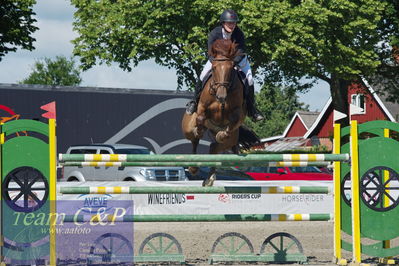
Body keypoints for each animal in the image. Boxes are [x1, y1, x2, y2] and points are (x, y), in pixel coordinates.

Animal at [184, 38, 252, 186]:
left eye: (230, 68)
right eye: (214, 68)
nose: (221, 96)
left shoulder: (237, 112)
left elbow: (232, 121)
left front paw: (221, 134)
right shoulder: (202, 107)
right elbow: (200, 118)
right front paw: (199, 130)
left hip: (230, 139)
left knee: (214, 147)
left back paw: (209, 178)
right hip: (187, 129)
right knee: (194, 141)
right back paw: (193, 168)